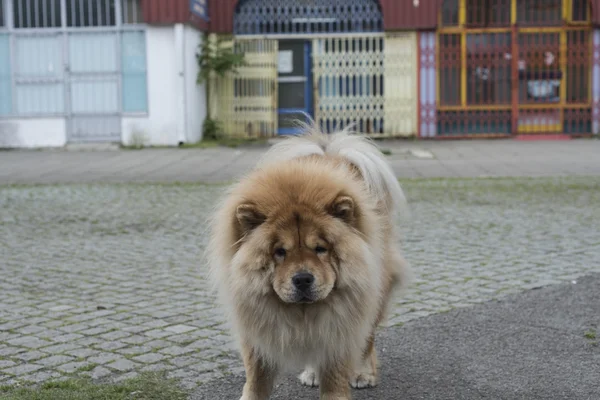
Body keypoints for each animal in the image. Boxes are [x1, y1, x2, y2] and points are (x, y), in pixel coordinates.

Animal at [206, 123, 408, 398]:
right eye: (280, 252)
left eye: (320, 249)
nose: (303, 279)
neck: (299, 314)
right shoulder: (254, 324)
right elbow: (256, 377)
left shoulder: (341, 324)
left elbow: (336, 374)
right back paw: (312, 373)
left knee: (367, 339)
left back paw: (363, 373)